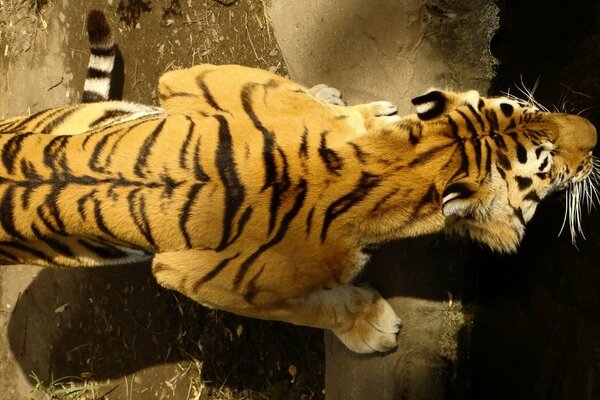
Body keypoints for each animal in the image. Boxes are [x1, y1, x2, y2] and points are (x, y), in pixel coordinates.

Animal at [0, 15, 596, 354]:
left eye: (528, 107)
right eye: (547, 163)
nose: (595, 133)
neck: (403, 159)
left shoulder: (192, 79)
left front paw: (349, 107)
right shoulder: (199, 278)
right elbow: (307, 308)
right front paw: (369, 325)